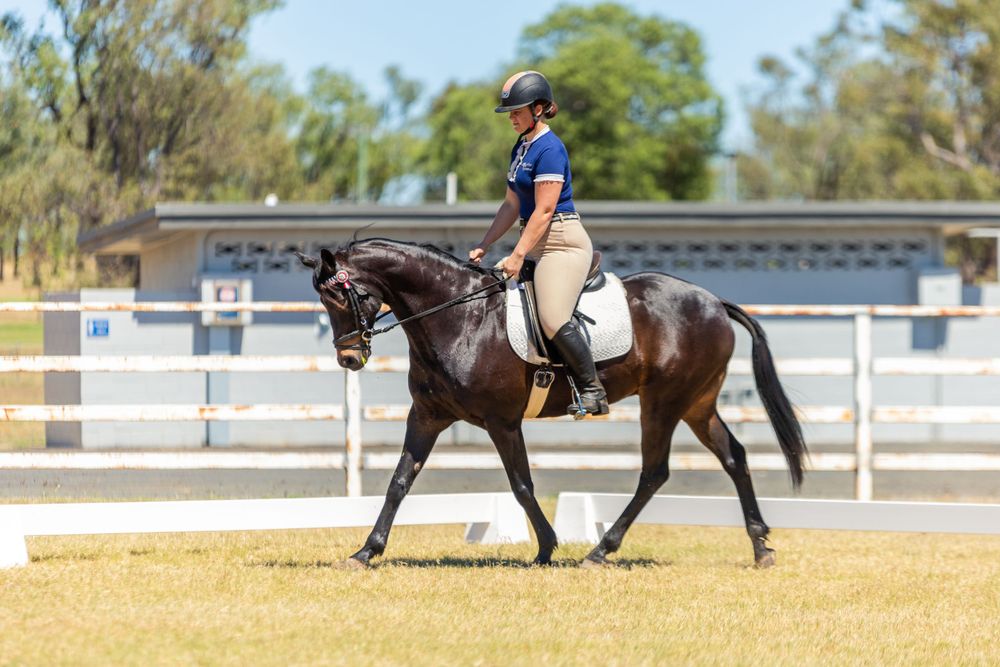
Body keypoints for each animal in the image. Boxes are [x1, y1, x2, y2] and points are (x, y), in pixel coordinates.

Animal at [297, 237, 806, 569]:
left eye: (343, 296)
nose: (349, 358)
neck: (460, 317)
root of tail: (714, 301)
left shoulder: (501, 421)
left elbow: (521, 485)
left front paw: (546, 547)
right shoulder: (427, 416)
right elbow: (400, 481)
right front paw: (366, 551)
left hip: (663, 403)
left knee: (654, 473)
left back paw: (600, 551)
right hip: (697, 403)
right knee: (733, 457)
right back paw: (761, 547)